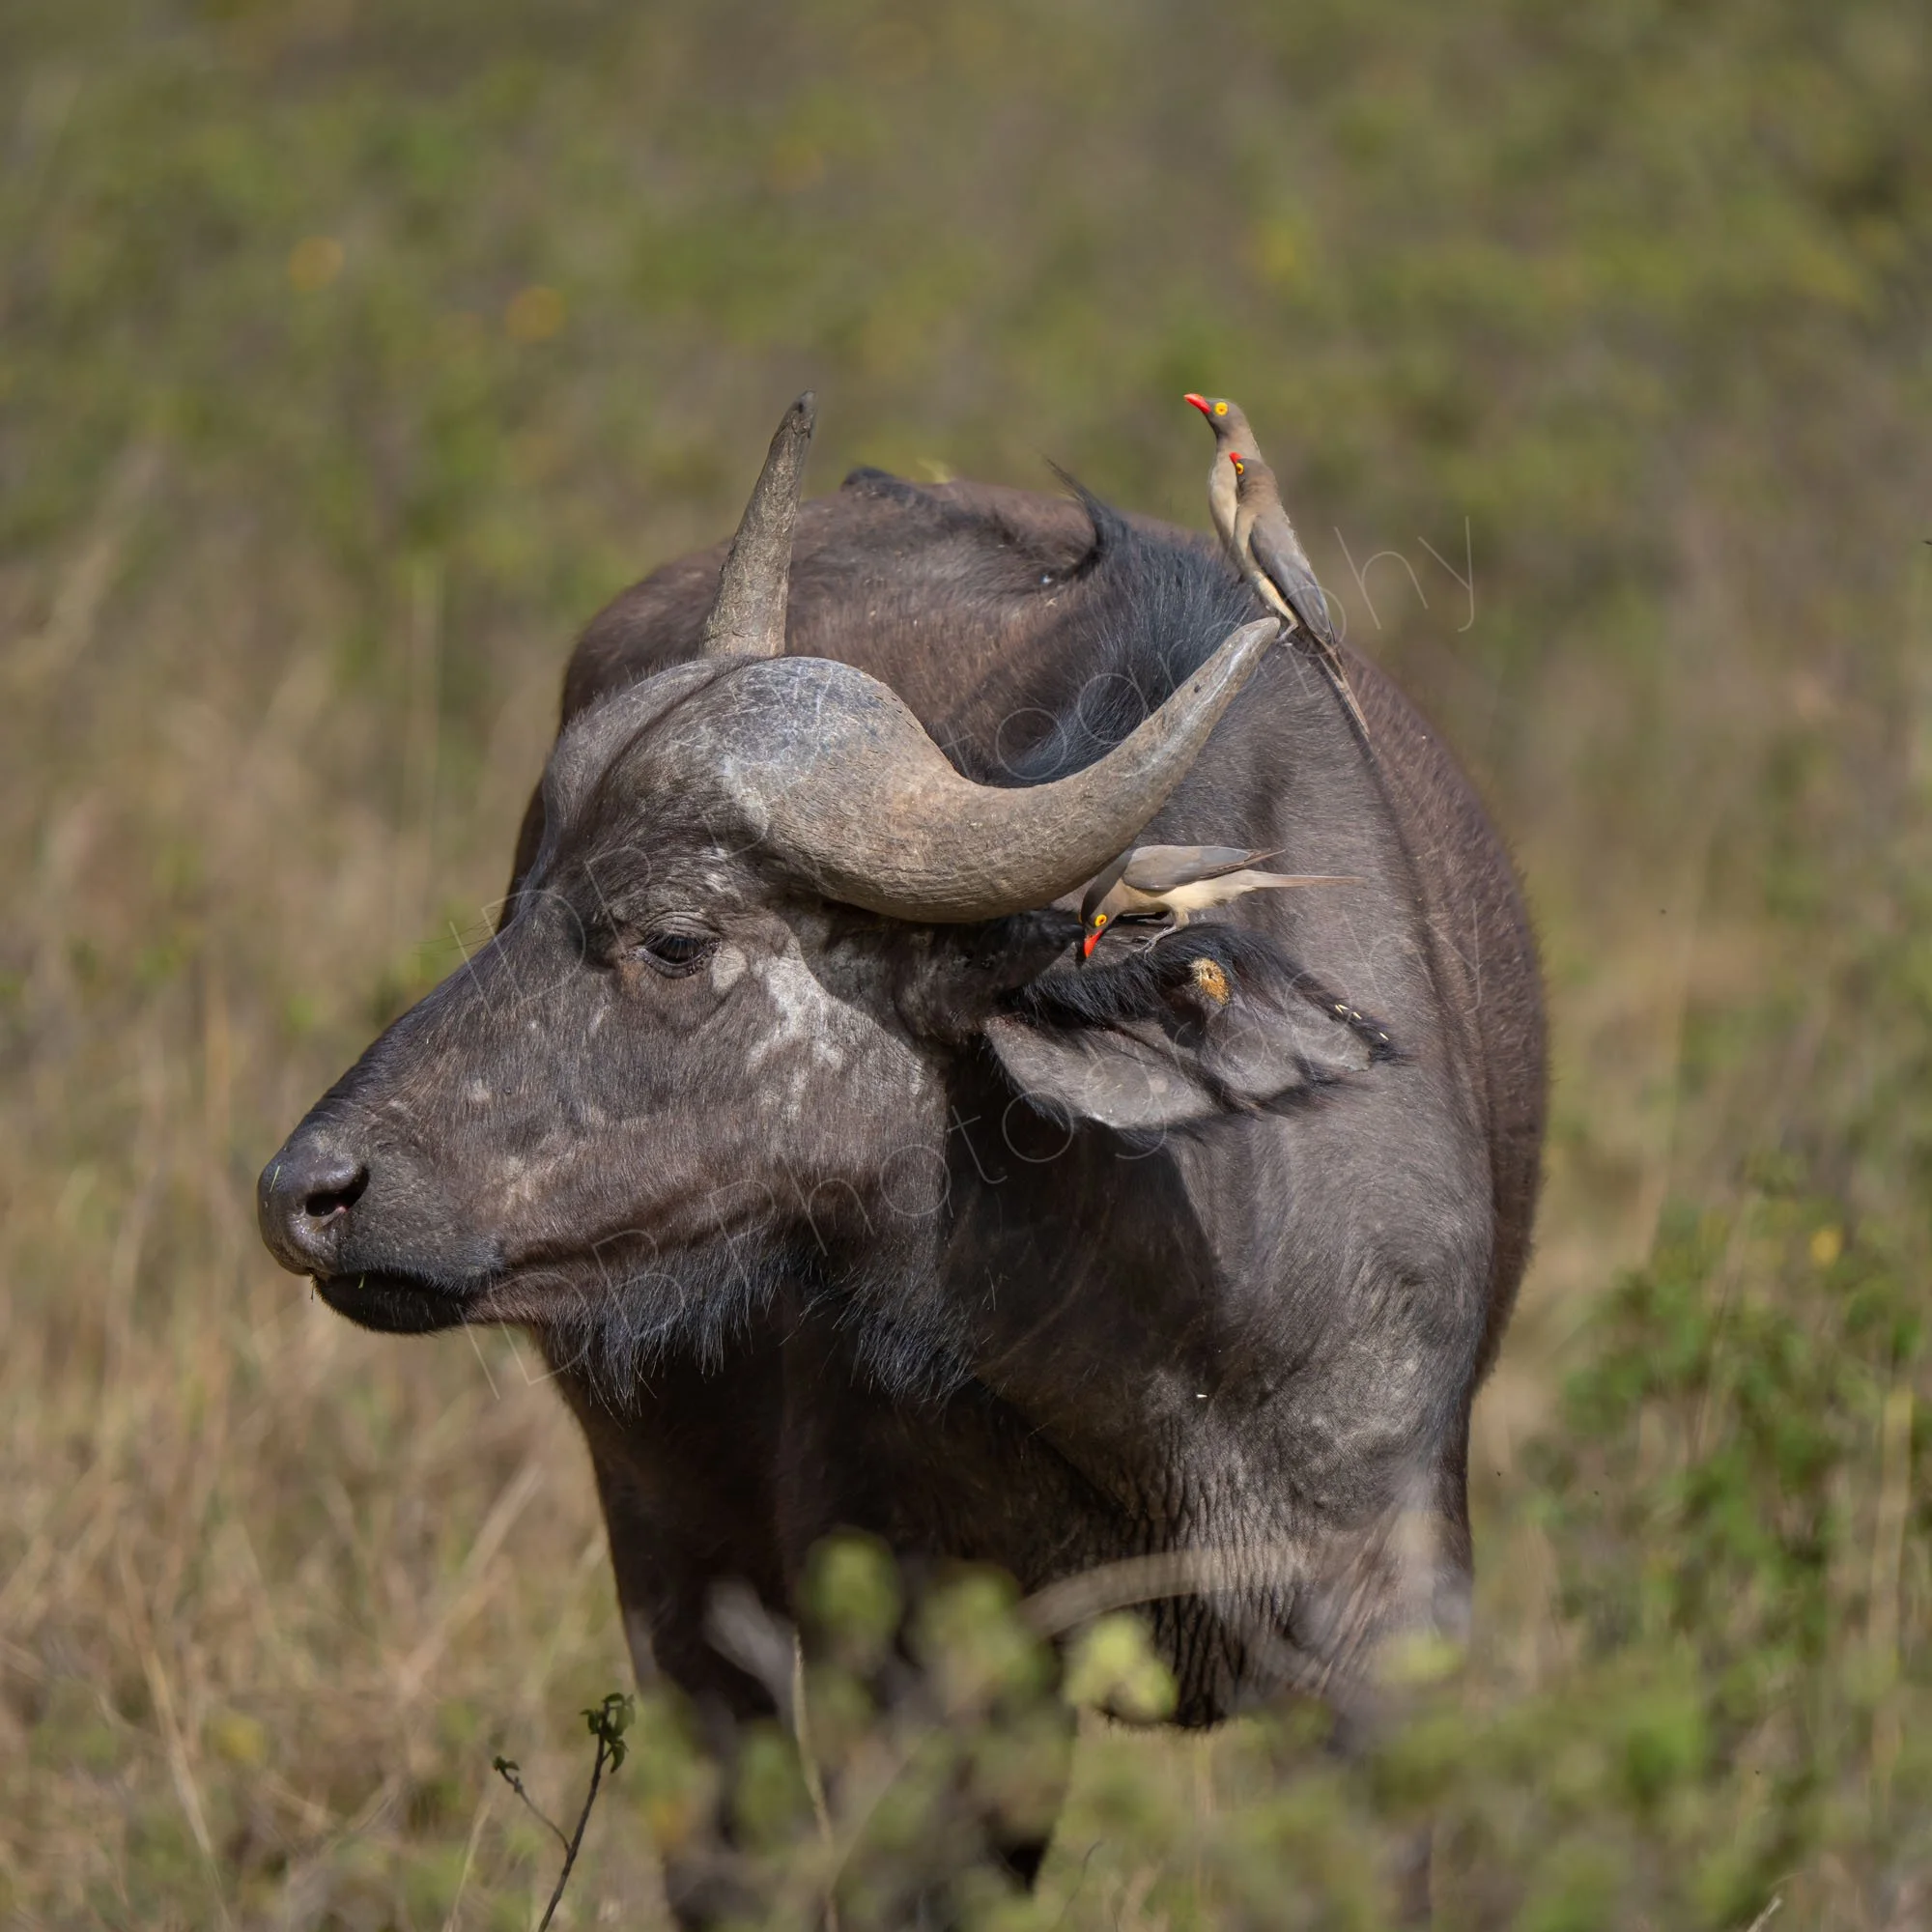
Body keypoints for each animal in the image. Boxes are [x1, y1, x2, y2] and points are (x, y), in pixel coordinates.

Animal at [259, 396, 1544, 1913]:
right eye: (517, 900)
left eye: (673, 940)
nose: (308, 1194)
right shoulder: (927, 1669)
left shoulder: (1380, 1660)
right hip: (674, 1556)